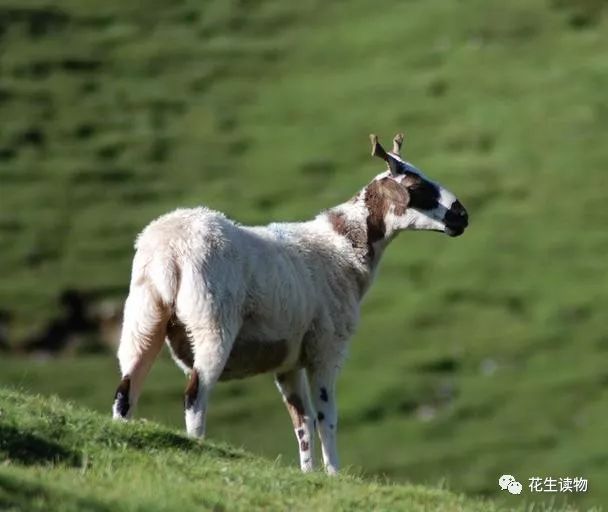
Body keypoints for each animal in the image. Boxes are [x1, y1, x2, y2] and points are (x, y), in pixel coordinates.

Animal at [110, 132, 470, 472]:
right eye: (416, 186)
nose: (462, 217)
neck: (345, 246)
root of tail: (168, 251)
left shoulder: (288, 360)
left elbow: (302, 422)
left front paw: (309, 473)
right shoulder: (326, 349)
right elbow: (327, 418)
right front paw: (334, 474)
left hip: (143, 317)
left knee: (125, 390)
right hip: (211, 321)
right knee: (195, 395)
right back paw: (198, 446)